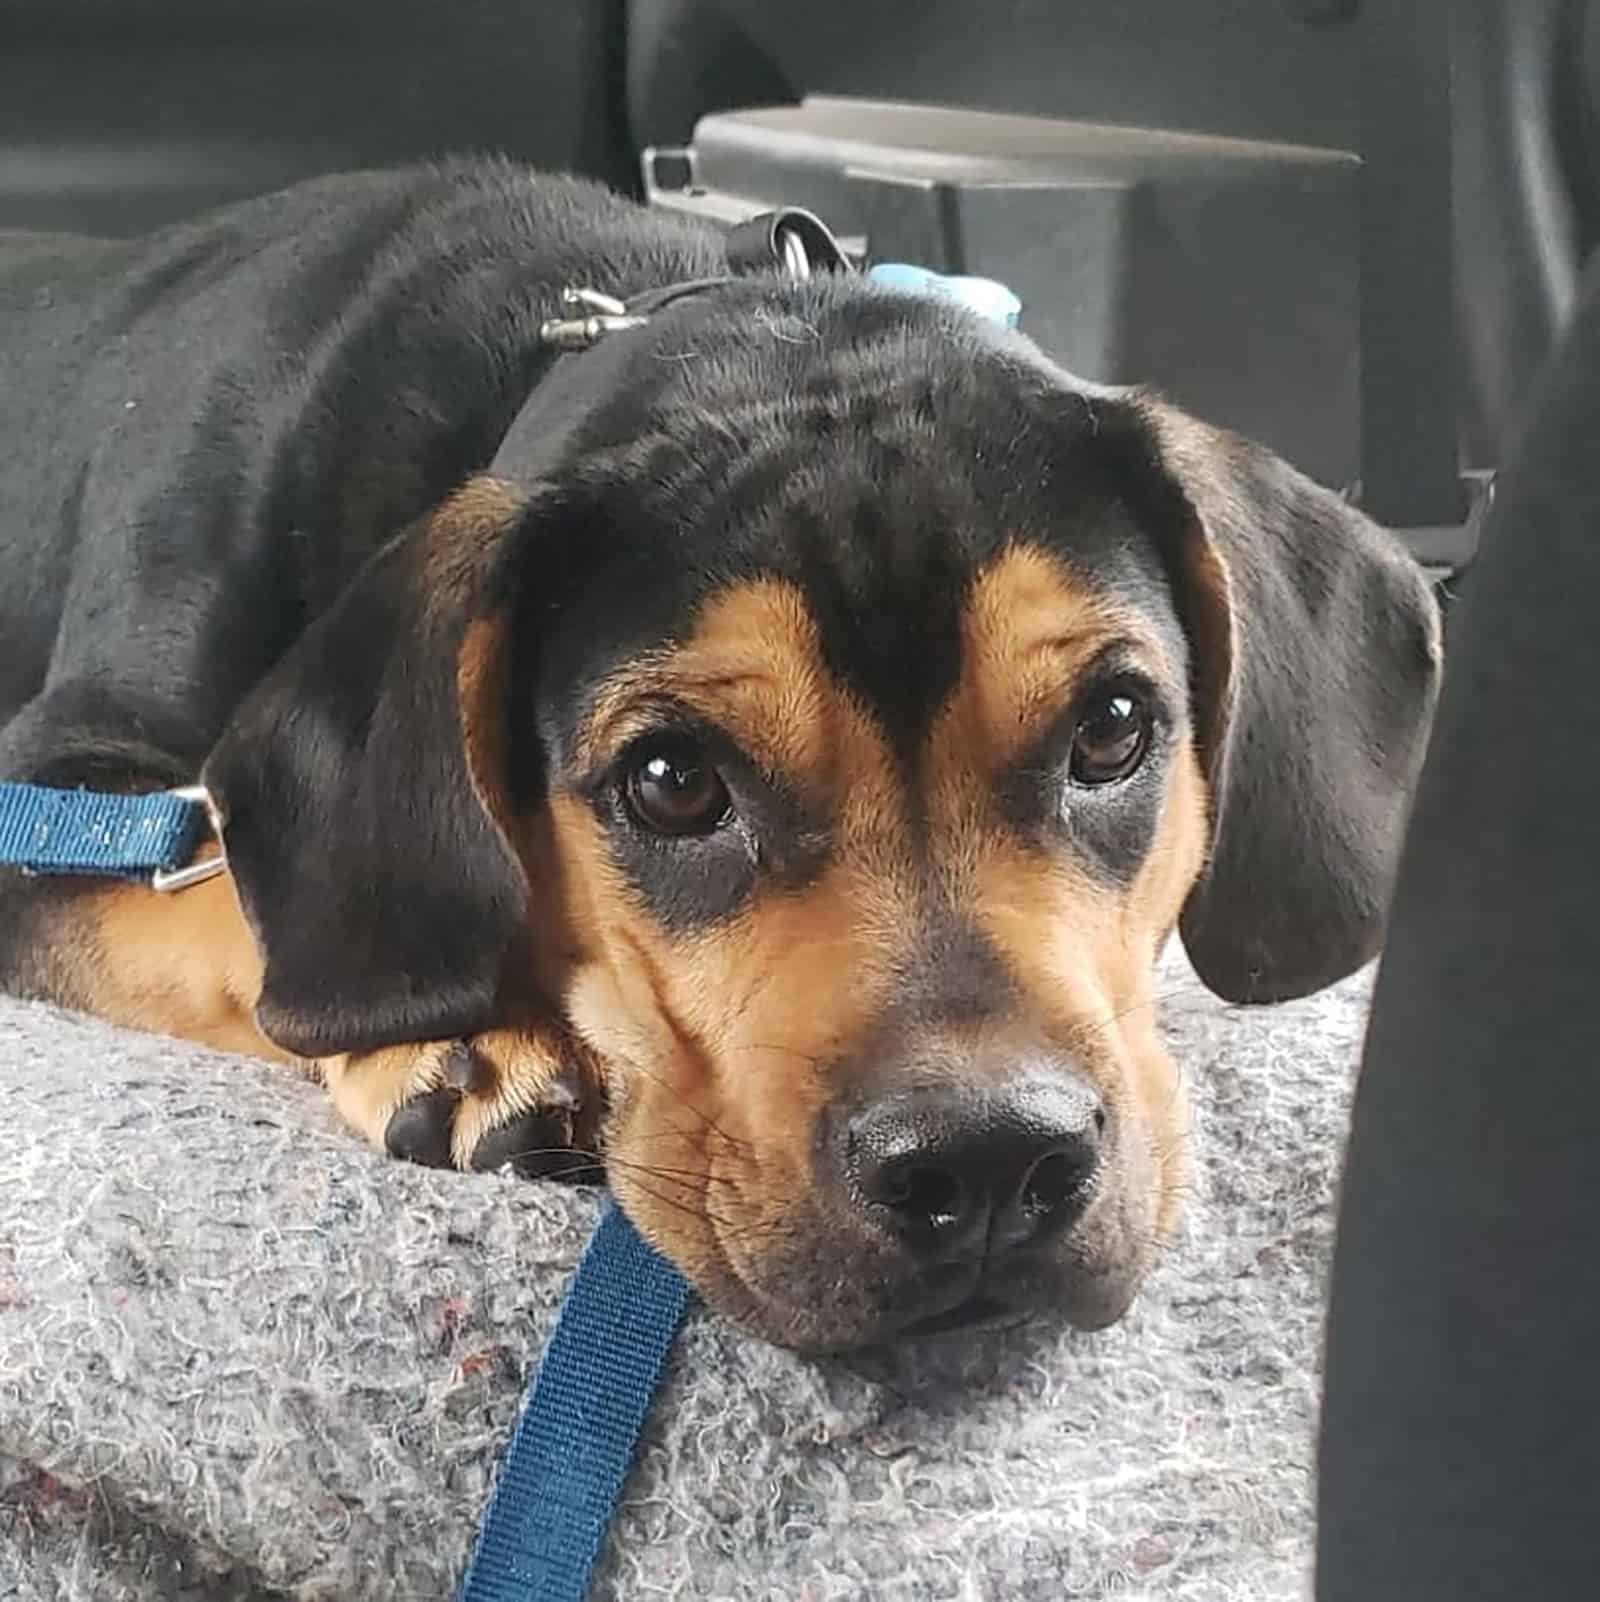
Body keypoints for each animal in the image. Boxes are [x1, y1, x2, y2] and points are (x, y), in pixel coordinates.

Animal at [0, 156, 1447, 1352]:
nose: (987, 1163)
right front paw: (450, 1034)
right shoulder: (51, 791)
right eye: (672, 780)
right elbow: (222, 911)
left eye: (1113, 726)